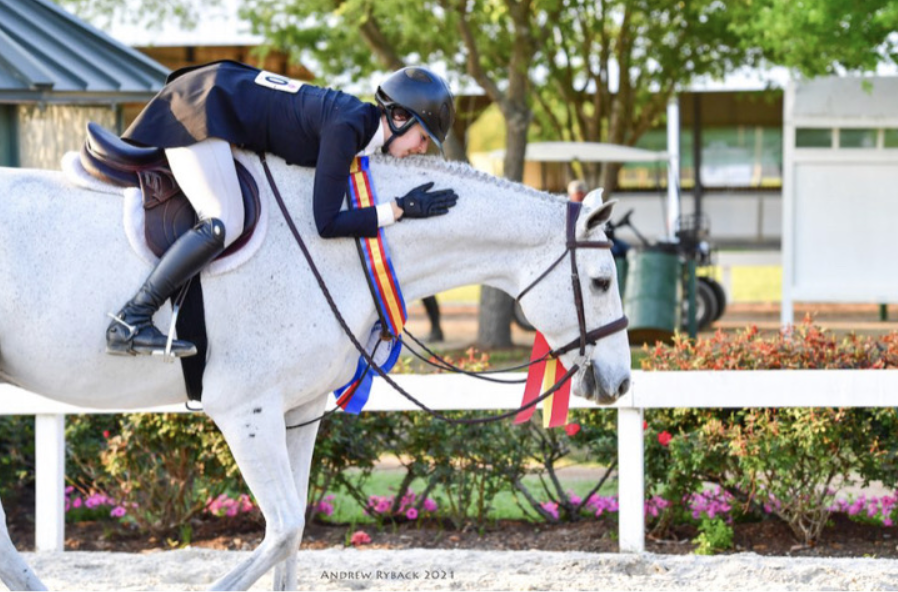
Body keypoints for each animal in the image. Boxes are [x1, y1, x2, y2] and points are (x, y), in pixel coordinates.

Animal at [0, 154, 632, 592]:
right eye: (602, 281)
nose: (621, 383)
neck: (339, 245)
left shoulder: (297, 412)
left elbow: (294, 535)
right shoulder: (246, 411)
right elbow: (281, 530)